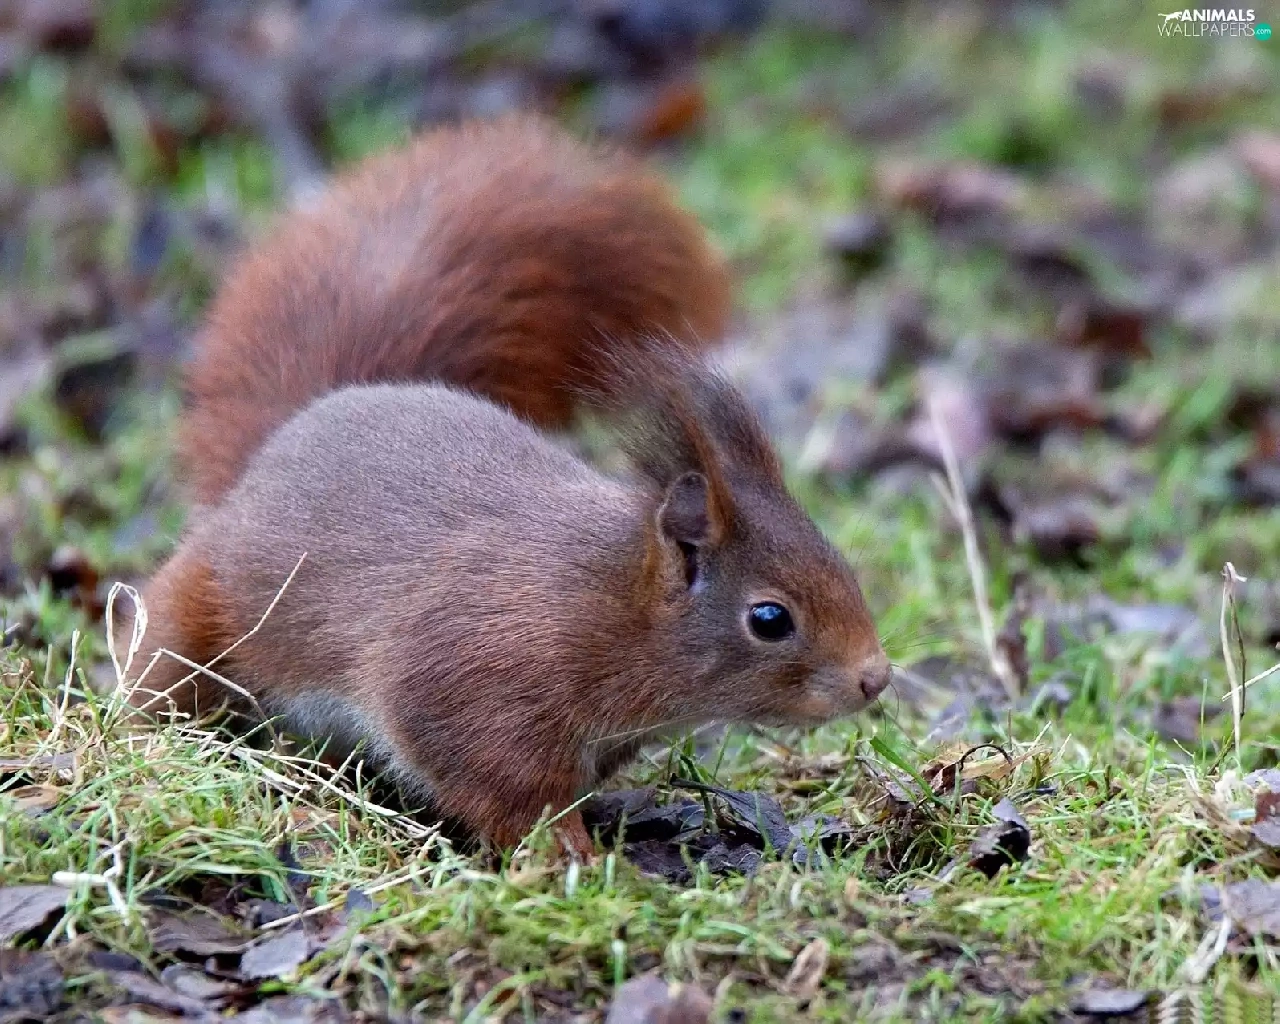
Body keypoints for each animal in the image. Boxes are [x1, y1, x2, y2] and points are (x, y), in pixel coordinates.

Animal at [120, 116, 891, 859]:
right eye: (770, 619)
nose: (875, 678)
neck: (610, 604)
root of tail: (276, 446)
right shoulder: (478, 676)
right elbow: (500, 786)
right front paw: (566, 855)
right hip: (209, 611)